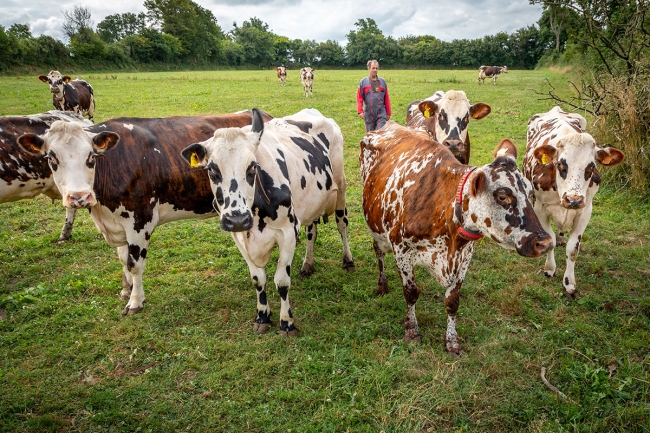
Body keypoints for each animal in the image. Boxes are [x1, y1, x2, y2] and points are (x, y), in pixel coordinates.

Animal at [17, 110, 270, 314]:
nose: (79, 197)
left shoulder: (139, 220)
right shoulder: (117, 221)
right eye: (52, 158)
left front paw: (135, 301)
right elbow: (122, 258)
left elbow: (134, 263)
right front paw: (126, 289)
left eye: (90, 156)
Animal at [180, 107, 354, 334]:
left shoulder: (288, 232)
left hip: (340, 188)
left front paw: (286, 322)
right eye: (211, 169)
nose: (238, 218)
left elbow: (282, 281)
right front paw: (262, 315)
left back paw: (348, 260)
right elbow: (257, 279)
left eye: (253, 166)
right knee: (312, 231)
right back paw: (307, 264)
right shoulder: (238, 236)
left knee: (342, 224)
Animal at [360, 120, 552, 354]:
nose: (544, 242)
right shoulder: (401, 249)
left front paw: (451, 340)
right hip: (375, 228)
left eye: (531, 193)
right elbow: (411, 292)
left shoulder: (464, 255)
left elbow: (452, 301)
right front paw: (411, 331)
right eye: (503, 196)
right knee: (378, 252)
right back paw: (382, 284)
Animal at [520, 106, 624, 298]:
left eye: (591, 167)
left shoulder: (585, 210)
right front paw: (550, 269)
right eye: (561, 164)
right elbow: (550, 240)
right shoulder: (541, 208)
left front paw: (569, 283)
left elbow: (572, 249)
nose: (573, 199)